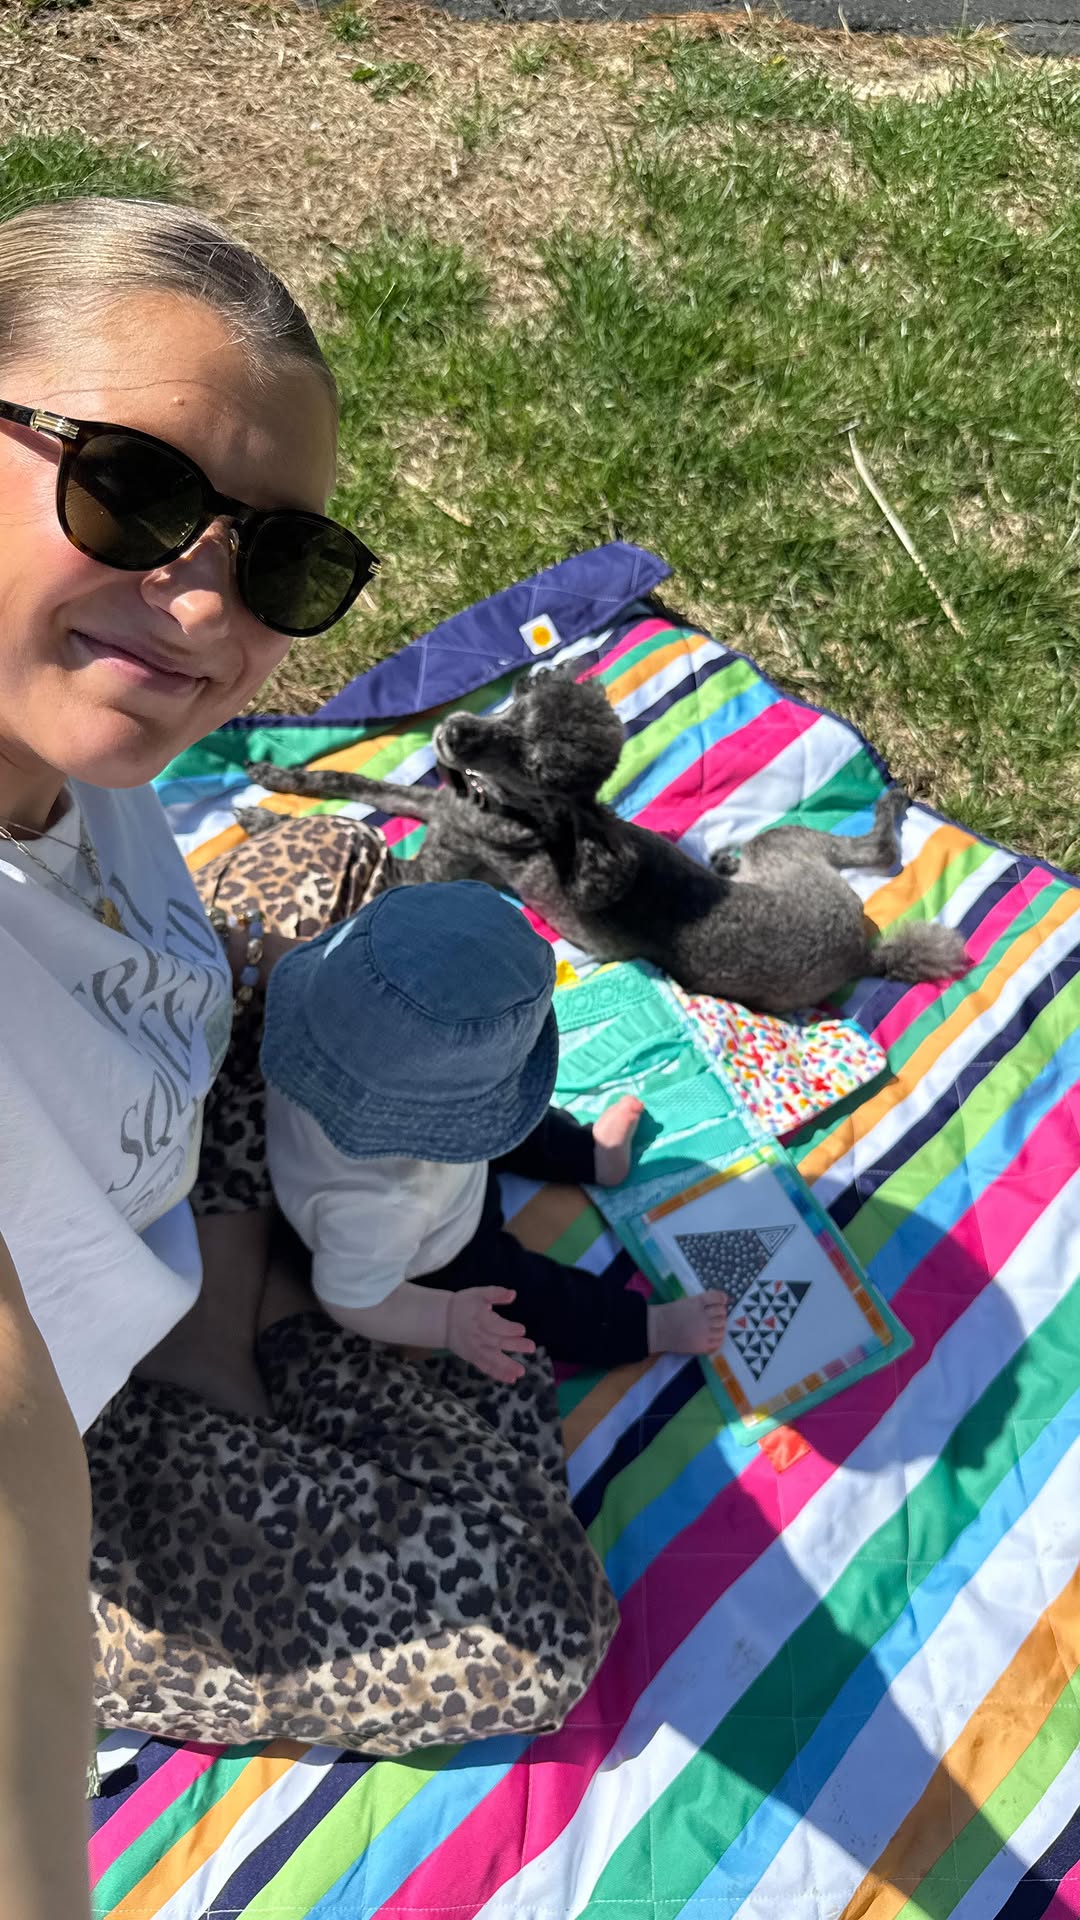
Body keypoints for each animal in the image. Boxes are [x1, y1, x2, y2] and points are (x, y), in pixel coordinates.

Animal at [247, 669, 968, 1014]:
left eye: (533, 767)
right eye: (518, 706)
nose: (452, 733)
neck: (508, 813)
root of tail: (867, 953)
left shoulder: (427, 870)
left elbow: (364, 845)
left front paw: (269, 829)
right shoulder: (439, 805)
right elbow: (354, 782)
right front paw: (279, 781)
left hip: (780, 850)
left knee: (883, 855)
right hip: (789, 852)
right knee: (867, 855)